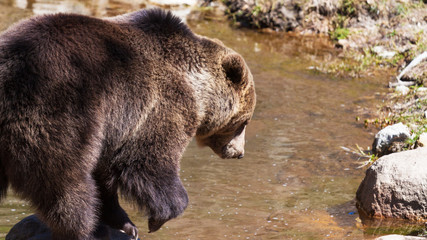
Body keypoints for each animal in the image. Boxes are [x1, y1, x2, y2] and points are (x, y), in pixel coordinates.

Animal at [0, 7, 256, 240]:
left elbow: (106, 177)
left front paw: (125, 224)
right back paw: (84, 230)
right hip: (60, 111)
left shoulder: (114, 130)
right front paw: (159, 217)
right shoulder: (159, 105)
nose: (239, 153)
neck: (197, 88)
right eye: (243, 122)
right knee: (67, 183)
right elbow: (148, 162)